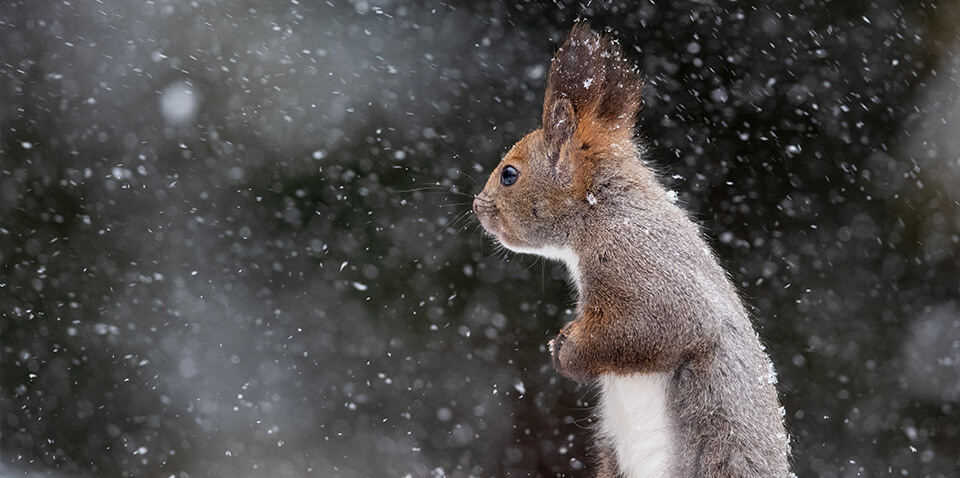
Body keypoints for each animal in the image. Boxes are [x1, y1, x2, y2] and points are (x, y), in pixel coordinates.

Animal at [472, 24, 796, 478]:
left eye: (509, 175)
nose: (476, 207)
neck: (603, 212)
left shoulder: (638, 266)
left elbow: (650, 330)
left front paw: (566, 351)